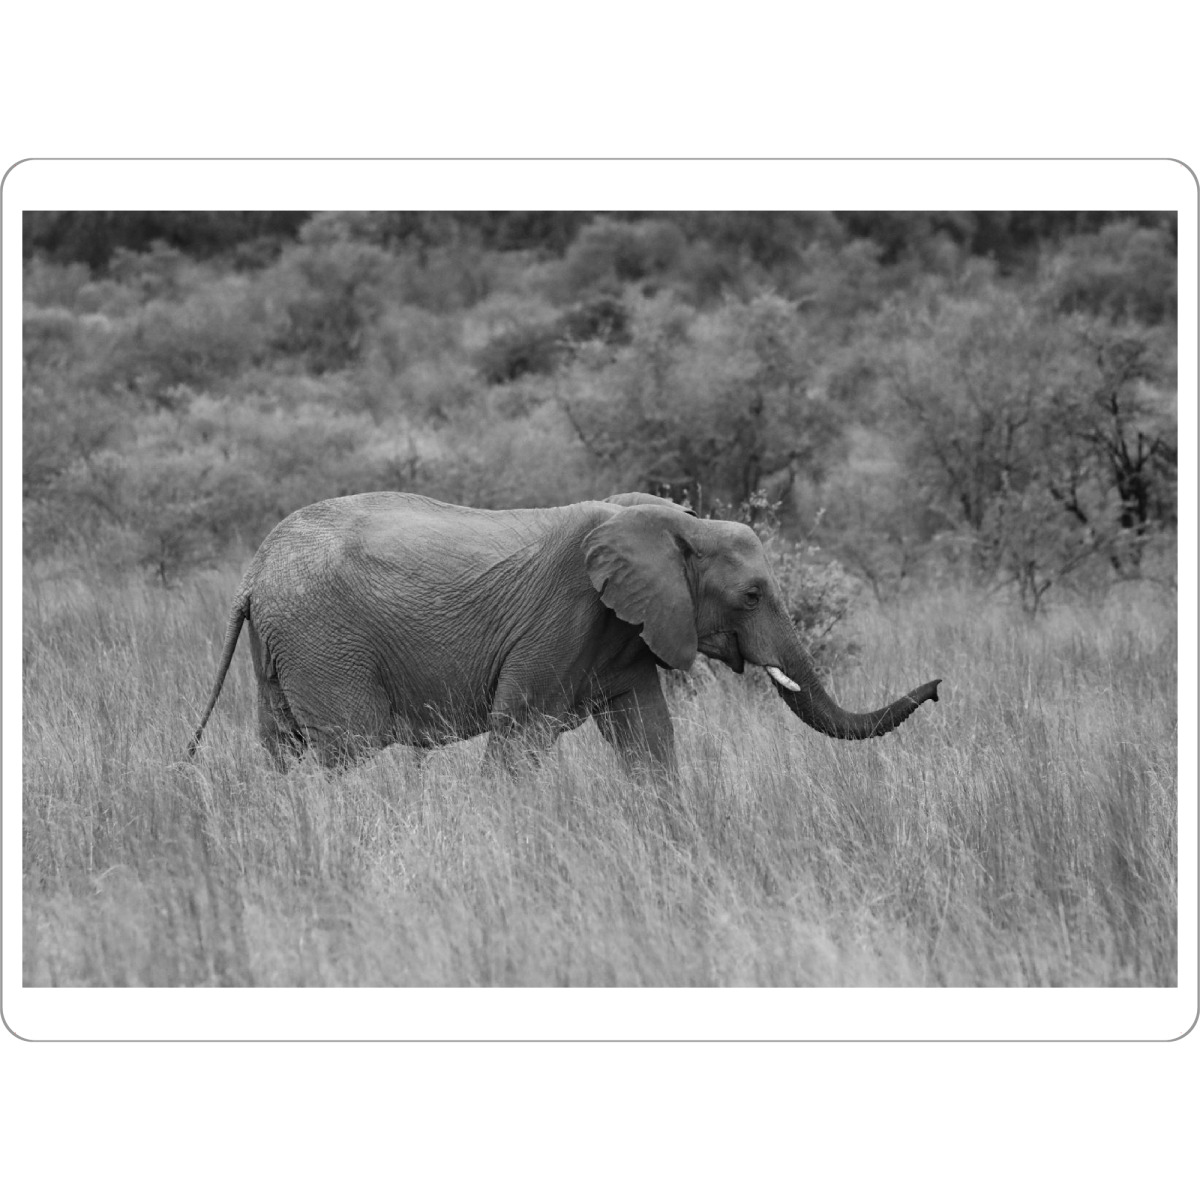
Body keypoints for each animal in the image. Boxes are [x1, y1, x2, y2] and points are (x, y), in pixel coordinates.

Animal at [187, 491, 941, 773]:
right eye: (752, 594)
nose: (938, 687)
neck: (671, 521)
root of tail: (252, 574)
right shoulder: (561, 623)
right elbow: (517, 740)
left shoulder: (627, 633)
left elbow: (649, 741)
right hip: (325, 641)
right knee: (349, 753)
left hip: (282, 646)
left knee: (282, 751)